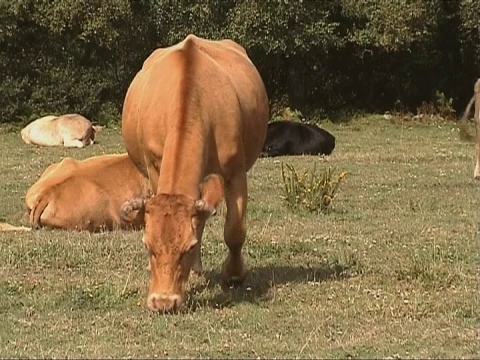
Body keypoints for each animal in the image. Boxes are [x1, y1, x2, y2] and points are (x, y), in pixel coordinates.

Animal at [121, 35, 270, 314]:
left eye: (187, 248)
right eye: (148, 245)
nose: (163, 301)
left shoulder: (235, 171)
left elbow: (234, 231)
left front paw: (234, 274)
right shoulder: (154, 166)